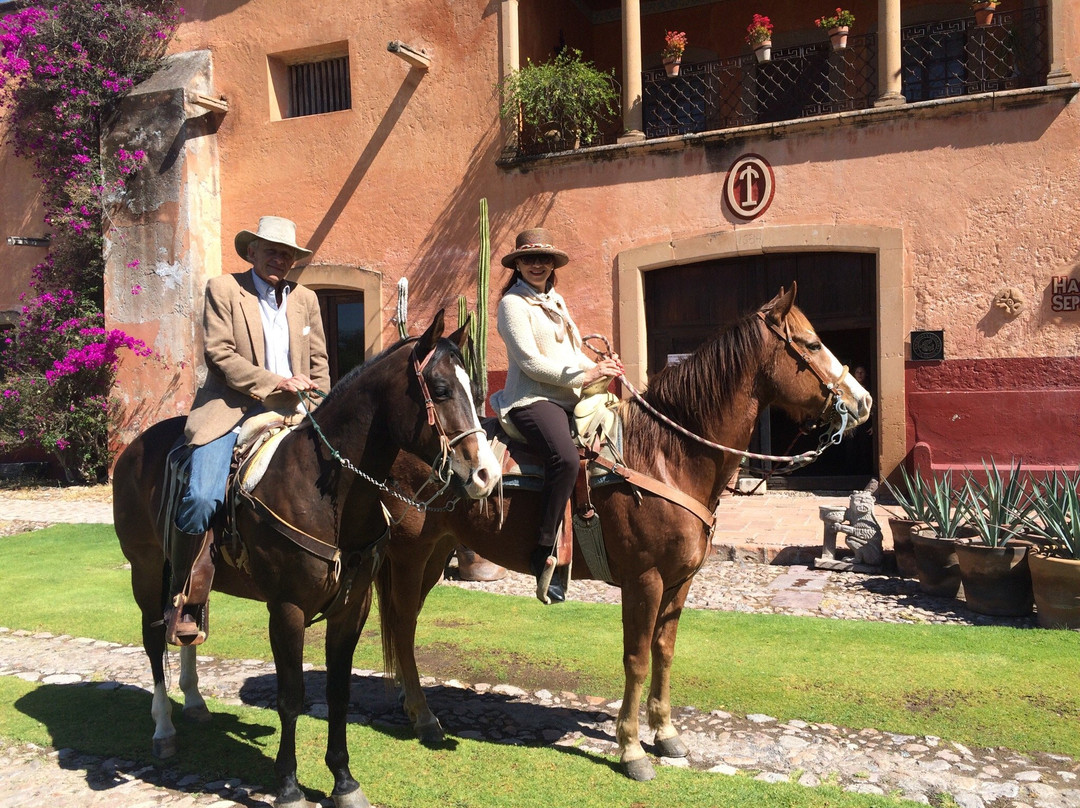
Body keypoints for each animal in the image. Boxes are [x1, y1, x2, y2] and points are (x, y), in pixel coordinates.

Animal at [113, 311, 501, 808]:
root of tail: (133, 449)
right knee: (153, 636)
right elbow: (291, 696)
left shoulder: (352, 607)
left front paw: (344, 780)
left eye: (473, 387)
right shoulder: (287, 609)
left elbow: (338, 692)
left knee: (187, 622)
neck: (328, 494)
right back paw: (163, 727)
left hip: (189, 579)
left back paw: (195, 703)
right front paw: (288, 785)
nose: (486, 474)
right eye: (440, 388)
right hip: (145, 569)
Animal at [375, 285, 872, 782]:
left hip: (436, 552)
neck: (667, 457)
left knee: (405, 622)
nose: (863, 401)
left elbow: (664, 650)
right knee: (402, 623)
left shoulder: (680, 580)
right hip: (410, 551)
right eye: (811, 344)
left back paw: (408, 701)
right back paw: (423, 716)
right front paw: (632, 749)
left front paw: (666, 733)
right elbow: (636, 659)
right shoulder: (643, 580)